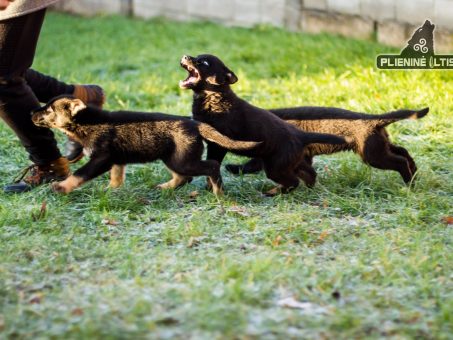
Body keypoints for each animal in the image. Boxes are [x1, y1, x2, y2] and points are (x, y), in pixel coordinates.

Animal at [31, 94, 260, 195]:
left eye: (50, 110)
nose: (32, 113)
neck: (86, 122)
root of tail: (195, 124)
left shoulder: (101, 158)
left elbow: (79, 175)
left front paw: (61, 187)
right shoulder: (116, 159)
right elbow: (116, 177)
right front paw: (111, 190)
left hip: (182, 160)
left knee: (210, 166)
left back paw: (219, 194)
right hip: (172, 157)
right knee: (183, 177)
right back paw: (165, 187)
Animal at [178, 54, 348, 195]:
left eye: (203, 62)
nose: (185, 56)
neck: (213, 96)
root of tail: (301, 135)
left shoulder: (218, 145)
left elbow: (215, 164)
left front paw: (210, 188)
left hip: (276, 166)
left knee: (293, 181)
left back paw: (273, 193)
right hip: (291, 161)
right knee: (309, 173)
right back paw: (309, 187)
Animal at [226, 107, 428, 185]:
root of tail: (373, 119)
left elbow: (251, 164)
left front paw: (232, 168)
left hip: (373, 155)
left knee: (399, 161)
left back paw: (410, 182)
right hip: (380, 146)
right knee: (403, 151)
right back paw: (415, 172)